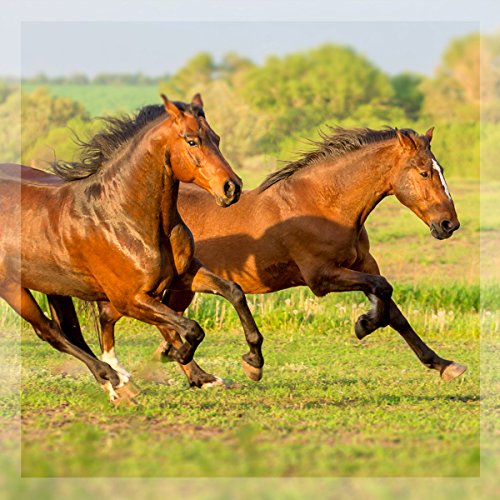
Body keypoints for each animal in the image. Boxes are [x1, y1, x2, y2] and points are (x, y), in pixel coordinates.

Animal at [0, 94, 266, 404]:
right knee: (49, 332)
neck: (122, 214)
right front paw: (177, 355)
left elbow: (233, 292)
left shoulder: (184, 274)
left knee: (71, 331)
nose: (231, 188)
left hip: (55, 287)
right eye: (192, 141)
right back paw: (115, 379)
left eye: (217, 138)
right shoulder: (130, 299)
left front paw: (253, 363)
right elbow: (191, 328)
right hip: (13, 288)